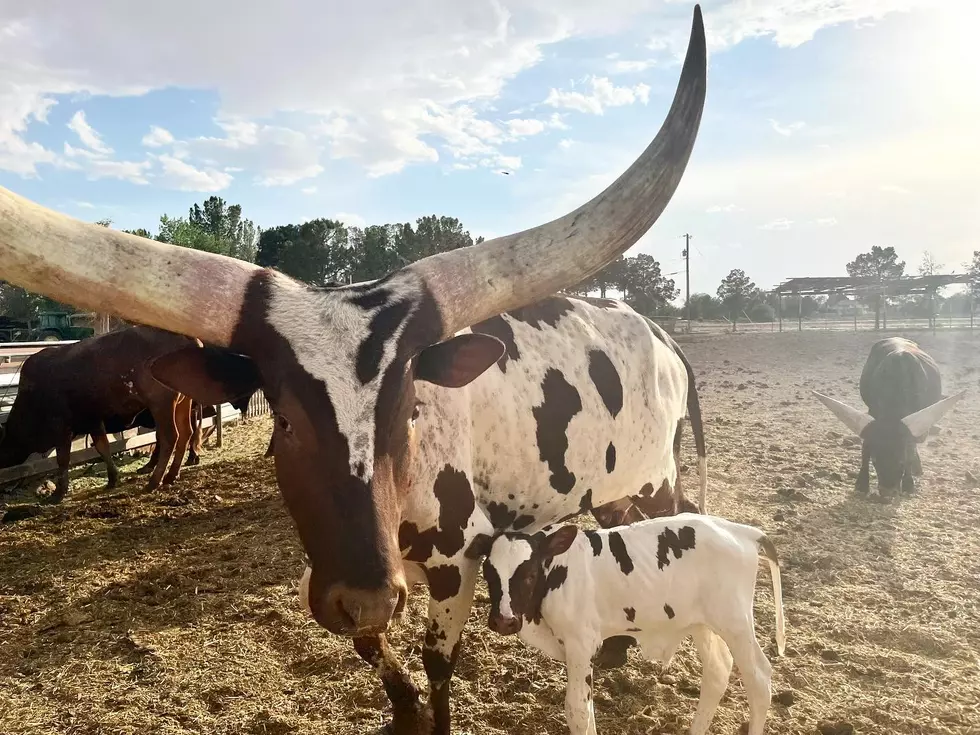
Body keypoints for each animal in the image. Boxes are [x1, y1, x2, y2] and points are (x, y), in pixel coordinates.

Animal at [0, 7, 708, 735]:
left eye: (410, 410)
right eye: (283, 420)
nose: (368, 593)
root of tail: (658, 333)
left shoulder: (457, 559)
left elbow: (437, 659)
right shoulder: (341, 572)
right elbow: (371, 642)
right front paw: (403, 707)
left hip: (654, 478)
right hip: (613, 489)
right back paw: (617, 646)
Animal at [470, 516, 784, 735]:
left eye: (530, 574)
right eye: (487, 571)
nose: (504, 621)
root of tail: (742, 531)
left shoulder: (580, 644)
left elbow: (577, 711)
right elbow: (588, 709)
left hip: (735, 623)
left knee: (759, 680)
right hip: (702, 624)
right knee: (718, 671)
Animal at [812, 338, 964, 500]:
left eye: (901, 462)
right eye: (875, 461)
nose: (887, 493)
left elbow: (910, 449)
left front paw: (909, 483)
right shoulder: (873, 414)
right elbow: (866, 447)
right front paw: (862, 483)